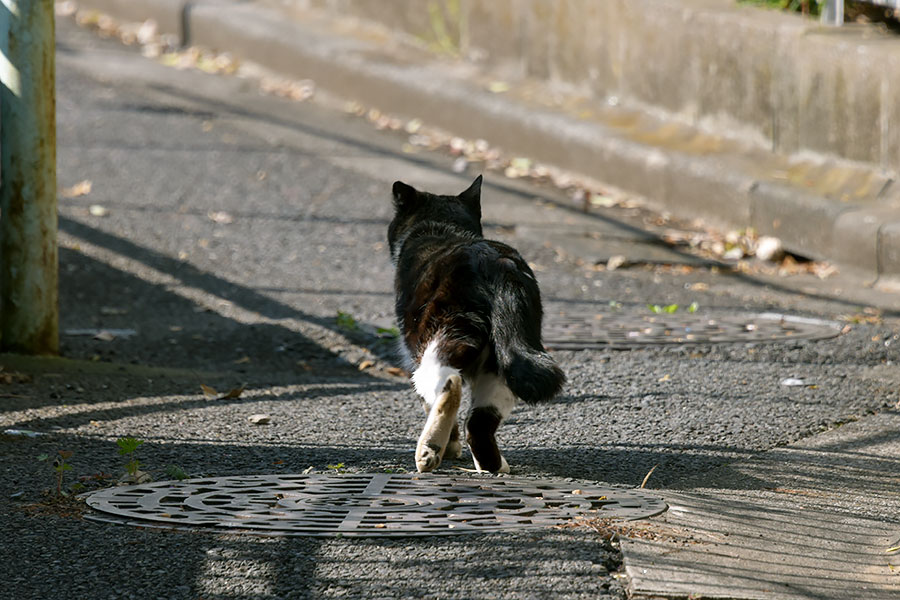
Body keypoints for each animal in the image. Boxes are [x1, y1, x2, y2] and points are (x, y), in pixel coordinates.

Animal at [386, 175, 564, 474]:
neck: (443, 227)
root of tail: (496, 263)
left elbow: (427, 402)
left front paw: (448, 447)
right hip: (505, 358)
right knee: (480, 422)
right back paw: (493, 466)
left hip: (443, 334)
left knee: (447, 384)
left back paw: (430, 450)